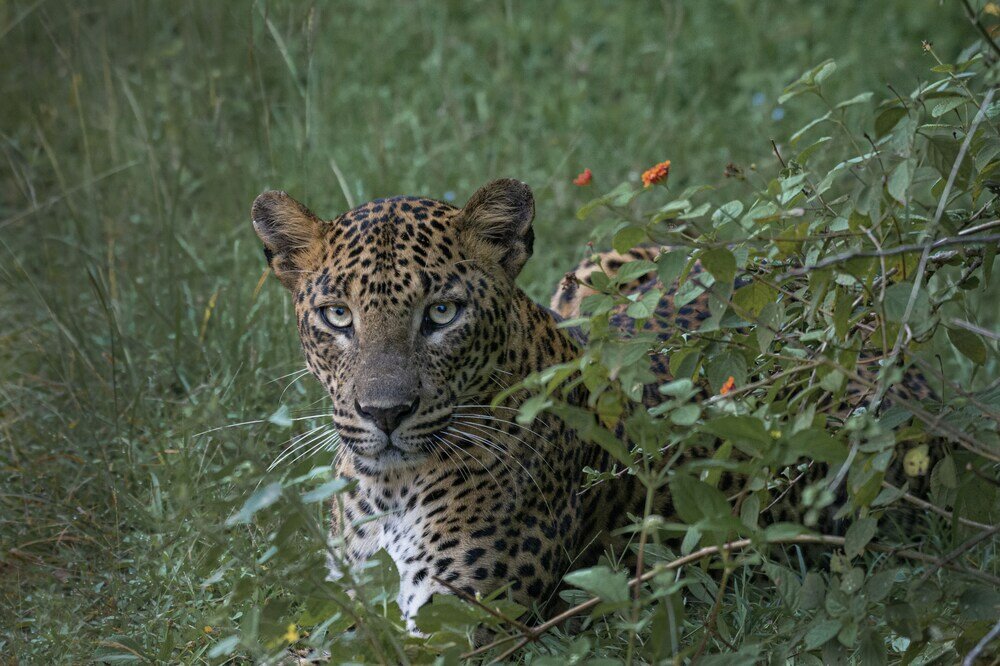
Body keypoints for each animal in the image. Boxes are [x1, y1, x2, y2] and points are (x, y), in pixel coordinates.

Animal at [250, 178, 933, 632]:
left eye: (441, 313)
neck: (389, 487)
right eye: (338, 316)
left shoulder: (453, 624)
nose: (385, 414)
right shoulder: (345, 605)